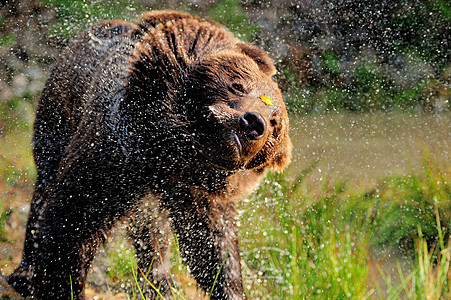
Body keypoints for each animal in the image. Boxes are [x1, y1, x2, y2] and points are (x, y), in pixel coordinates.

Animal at [7, 9, 294, 300]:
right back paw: (24, 274)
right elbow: (72, 218)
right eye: (238, 85)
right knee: (45, 185)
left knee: (153, 227)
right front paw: (62, 286)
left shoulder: (197, 190)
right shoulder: (117, 152)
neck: (171, 151)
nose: (254, 122)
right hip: (58, 115)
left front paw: (230, 287)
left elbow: (212, 244)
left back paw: (160, 281)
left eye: (275, 123)